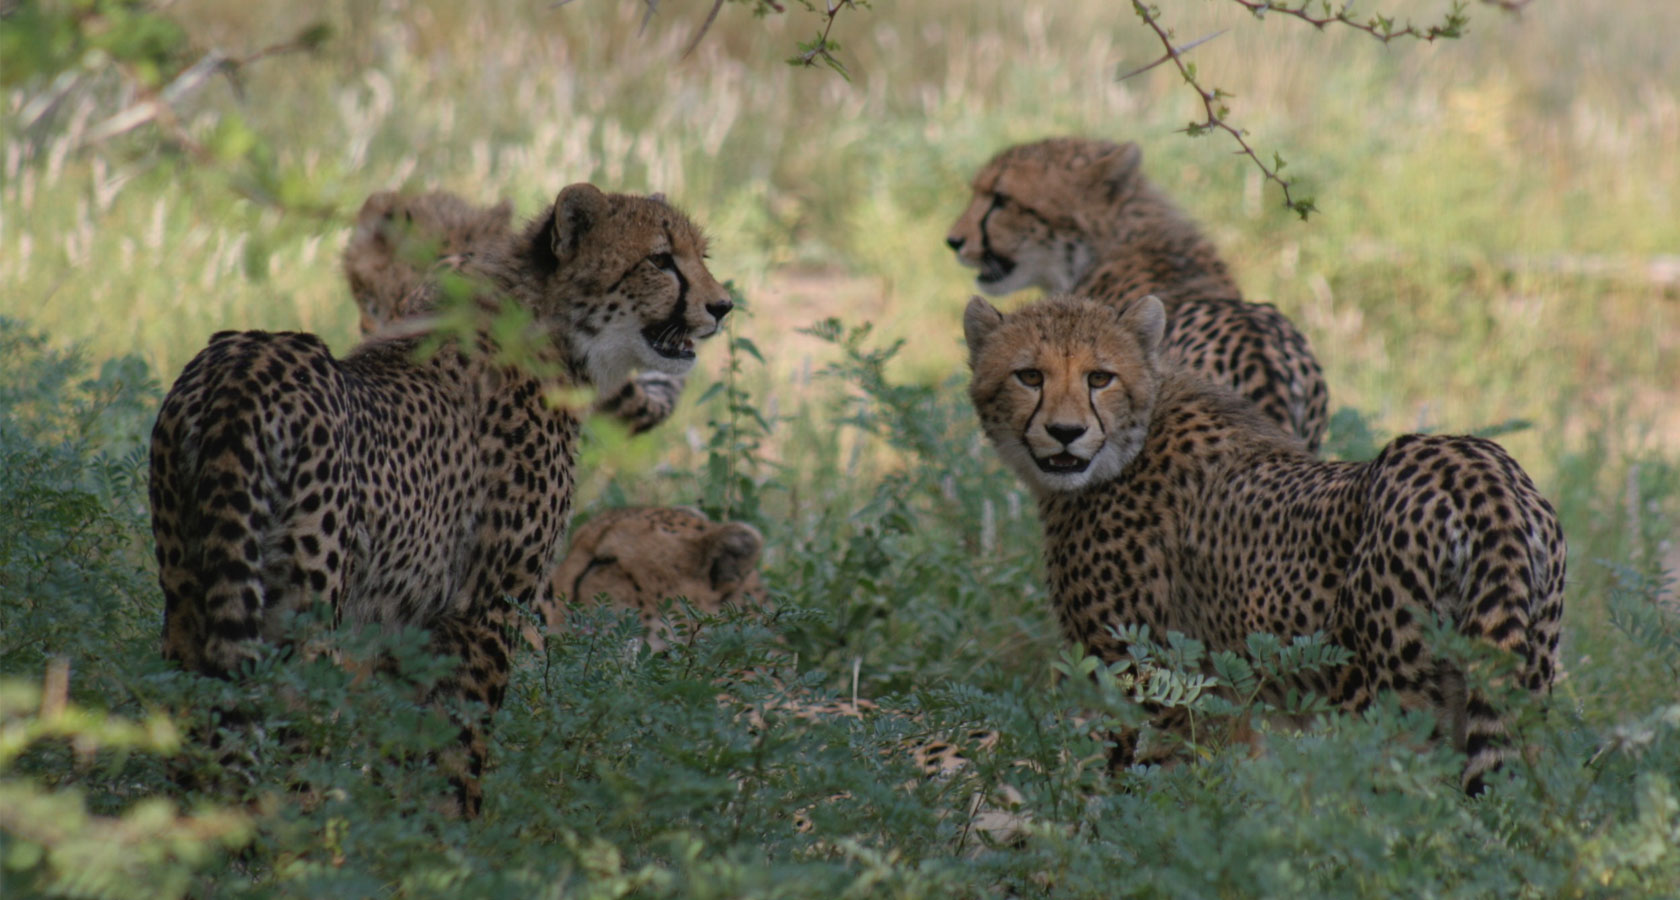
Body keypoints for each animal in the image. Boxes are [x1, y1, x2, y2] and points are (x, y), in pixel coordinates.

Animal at [964, 292, 1566, 793]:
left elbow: (1142, 785)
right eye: (1029, 375)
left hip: (1388, 705)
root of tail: (1475, 466)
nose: (1066, 433)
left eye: (1099, 377)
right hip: (1521, 687)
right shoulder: (1220, 691)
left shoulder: (1145, 679)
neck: (1128, 442)